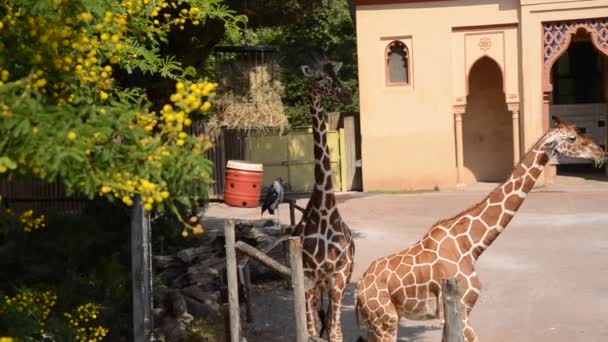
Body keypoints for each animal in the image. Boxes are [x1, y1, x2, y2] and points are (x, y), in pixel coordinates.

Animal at [354, 117, 604, 342]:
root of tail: (359, 289)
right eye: (572, 138)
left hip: (375, 323)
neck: (471, 245)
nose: (601, 151)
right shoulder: (463, 308)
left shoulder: (452, 314)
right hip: (386, 320)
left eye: (578, 131)